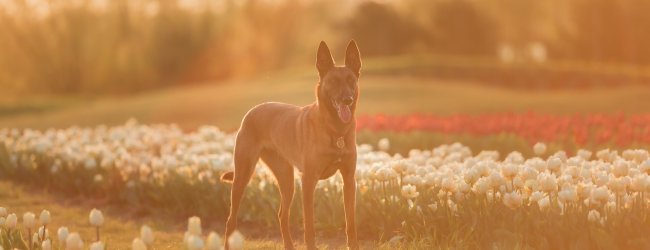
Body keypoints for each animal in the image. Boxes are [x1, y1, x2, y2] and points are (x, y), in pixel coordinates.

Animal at [219, 40, 360, 249]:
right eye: (334, 81)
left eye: (351, 80)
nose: (347, 100)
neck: (335, 130)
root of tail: (252, 110)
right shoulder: (308, 181)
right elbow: (309, 225)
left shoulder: (349, 180)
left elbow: (351, 224)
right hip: (243, 176)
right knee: (231, 219)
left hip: (287, 180)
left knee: (282, 216)